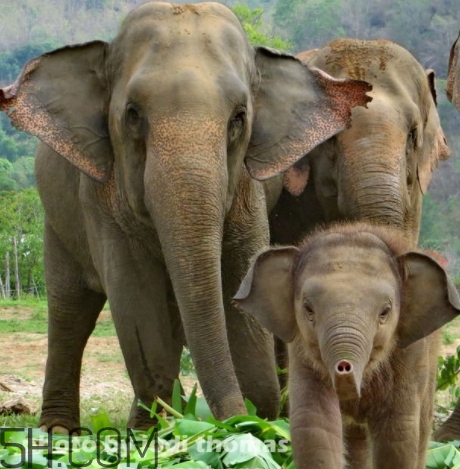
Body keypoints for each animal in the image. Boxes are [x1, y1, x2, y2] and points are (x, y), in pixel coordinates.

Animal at [0, 1, 370, 430]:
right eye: (132, 114)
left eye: (239, 117)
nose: (241, 420)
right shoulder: (100, 196)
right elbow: (136, 301)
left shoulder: (247, 190)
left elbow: (240, 277)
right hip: (57, 220)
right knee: (70, 308)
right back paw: (65, 429)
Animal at [234, 222, 460, 468]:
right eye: (308, 309)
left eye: (385, 312)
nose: (344, 367)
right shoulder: (302, 351)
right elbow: (315, 426)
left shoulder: (409, 353)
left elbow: (397, 433)